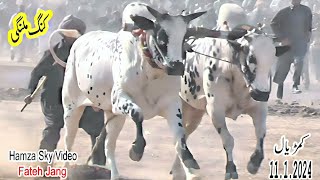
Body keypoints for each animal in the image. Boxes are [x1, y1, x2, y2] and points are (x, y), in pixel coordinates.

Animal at [50, 3, 212, 180]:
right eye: (161, 36)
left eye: (184, 37)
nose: (176, 66)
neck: (149, 71)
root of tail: (80, 40)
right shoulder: (119, 98)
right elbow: (137, 114)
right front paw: (136, 149)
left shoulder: (171, 104)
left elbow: (180, 138)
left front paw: (190, 163)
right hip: (71, 108)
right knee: (68, 141)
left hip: (114, 116)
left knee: (109, 146)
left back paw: (114, 175)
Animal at [171, 24, 292, 179]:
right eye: (251, 58)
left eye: (272, 60)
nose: (262, 94)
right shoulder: (215, 110)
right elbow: (228, 140)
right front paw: (231, 169)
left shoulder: (259, 108)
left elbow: (261, 133)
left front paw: (254, 162)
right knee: (179, 137)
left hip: (195, 112)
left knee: (184, 135)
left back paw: (180, 170)